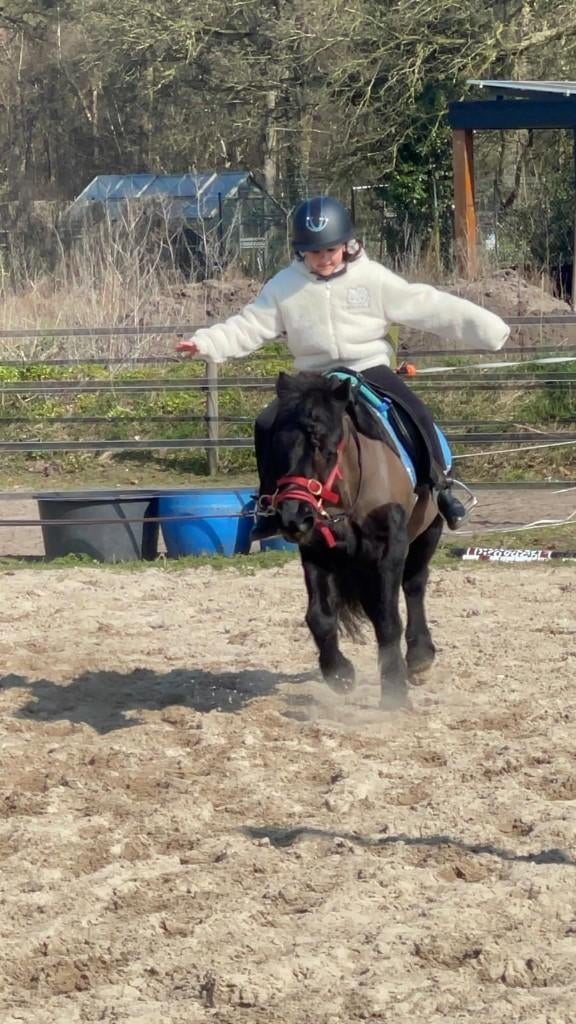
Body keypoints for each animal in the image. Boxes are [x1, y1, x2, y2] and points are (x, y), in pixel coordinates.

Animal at [260, 370, 444, 709]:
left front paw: (394, 691)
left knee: (414, 585)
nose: (294, 516)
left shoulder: (389, 551)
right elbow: (319, 617)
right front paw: (340, 674)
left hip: (429, 531)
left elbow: (387, 618)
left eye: (328, 449)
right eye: (276, 448)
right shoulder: (317, 552)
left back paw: (419, 658)